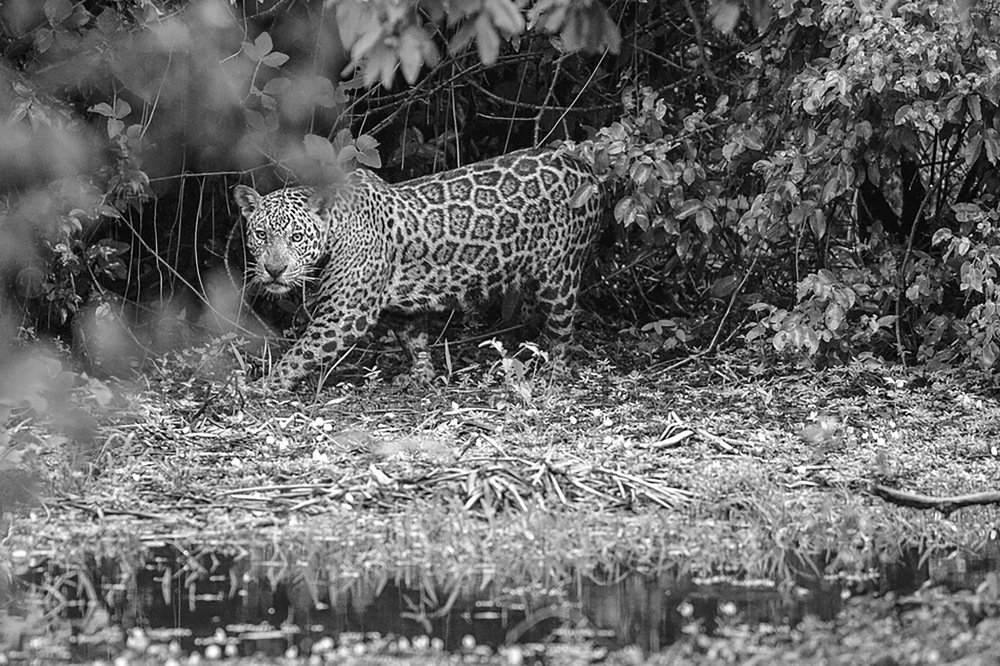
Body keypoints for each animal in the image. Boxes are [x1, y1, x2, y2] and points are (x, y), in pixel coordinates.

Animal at [233, 146, 604, 390]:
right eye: (261, 234)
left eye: (296, 236)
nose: (274, 269)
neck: (336, 227)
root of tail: (582, 164)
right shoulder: (401, 308)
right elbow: (415, 341)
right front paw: (420, 377)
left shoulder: (345, 315)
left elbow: (300, 353)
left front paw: (264, 386)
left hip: (559, 274)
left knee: (563, 328)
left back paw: (553, 371)